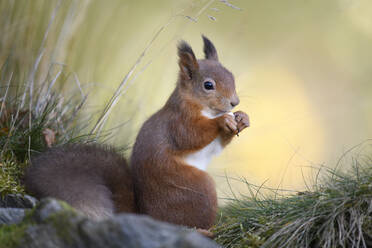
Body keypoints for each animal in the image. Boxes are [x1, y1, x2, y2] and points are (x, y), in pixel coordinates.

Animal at [24, 35, 250, 232]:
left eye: (231, 76)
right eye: (208, 85)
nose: (235, 102)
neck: (203, 108)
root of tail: (150, 217)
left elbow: (215, 146)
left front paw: (242, 118)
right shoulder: (178, 122)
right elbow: (192, 136)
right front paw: (223, 120)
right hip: (199, 188)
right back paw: (206, 231)